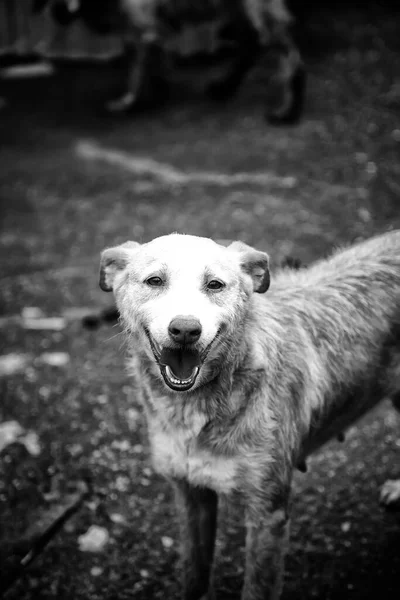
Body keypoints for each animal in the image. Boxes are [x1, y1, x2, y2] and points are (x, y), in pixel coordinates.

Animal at [36, 0, 304, 123]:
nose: (55, 14)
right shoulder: (148, 30)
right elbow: (155, 67)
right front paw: (157, 96)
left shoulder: (144, 29)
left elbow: (138, 72)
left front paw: (130, 104)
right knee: (251, 46)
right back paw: (225, 87)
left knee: (290, 55)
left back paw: (288, 110)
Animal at [98, 231, 400, 600]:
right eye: (155, 281)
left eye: (214, 284)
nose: (185, 330)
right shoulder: (190, 495)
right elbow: (194, 573)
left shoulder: (268, 514)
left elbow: (256, 586)